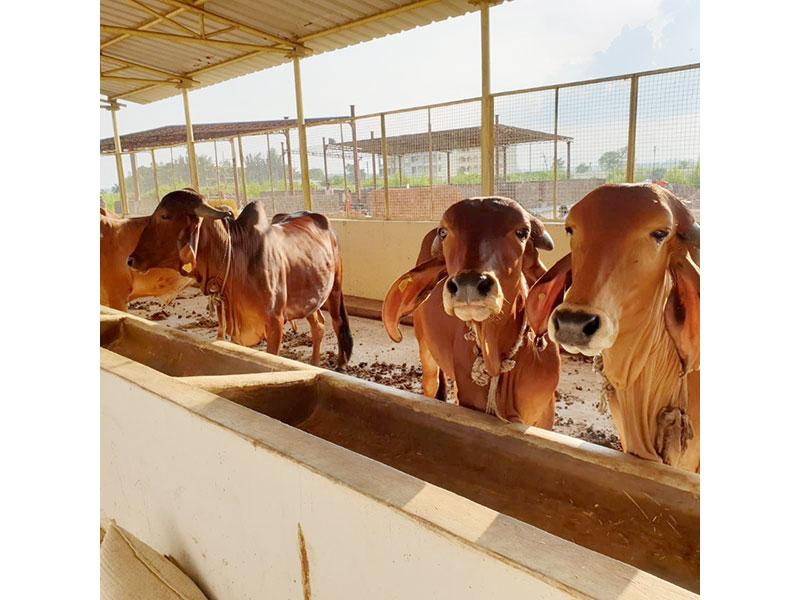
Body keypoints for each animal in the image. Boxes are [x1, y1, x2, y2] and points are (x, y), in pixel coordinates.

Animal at [129, 190, 354, 366]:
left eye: (165, 216)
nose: (131, 259)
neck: (239, 257)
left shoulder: (275, 322)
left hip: (335, 289)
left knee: (337, 322)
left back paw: (341, 363)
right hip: (309, 298)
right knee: (319, 325)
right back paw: (315, 363)